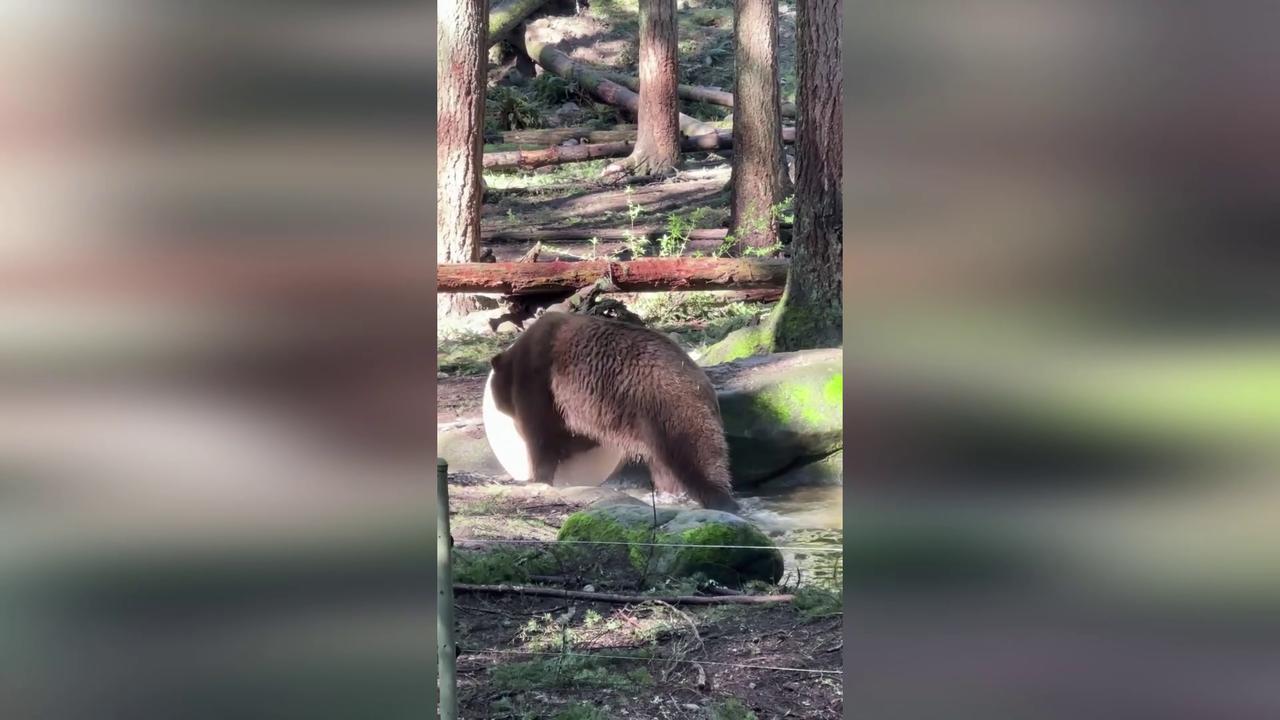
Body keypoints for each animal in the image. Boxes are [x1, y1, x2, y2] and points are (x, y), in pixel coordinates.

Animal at [486, 311, 740, 513]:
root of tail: (703, 382)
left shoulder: (540, 381)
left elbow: (541, 435)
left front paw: (536, 476)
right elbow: (575, 437)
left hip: (670, 408)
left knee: (697, 454)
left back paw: (722, 500)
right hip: (656, 426)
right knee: (666, 467)